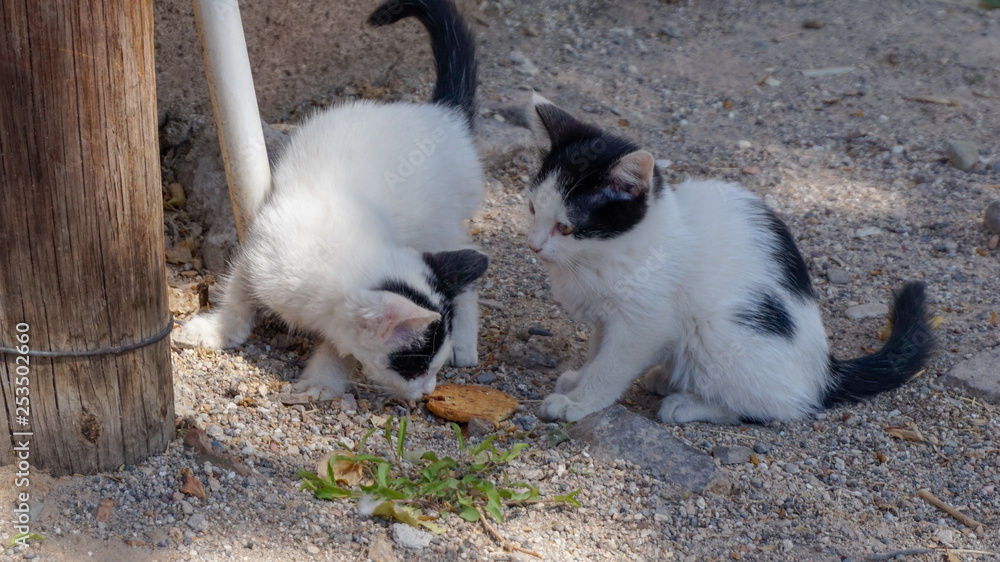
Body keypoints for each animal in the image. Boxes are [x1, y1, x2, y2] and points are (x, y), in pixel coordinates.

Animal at [185, 1, 492, 398]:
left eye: (430, 368)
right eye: (417, 366)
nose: (428, 390)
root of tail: (443, 117)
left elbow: (337, 344)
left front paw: (322, 380)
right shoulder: (258, 254)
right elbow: (237, 293)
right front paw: (218, 329)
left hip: (442, 224)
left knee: (470, 259)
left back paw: (467, 342)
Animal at [528, 94, 932, 422]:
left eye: (566, 227)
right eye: (532, 209)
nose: (534, 245)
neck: (614, 250)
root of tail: (824, 373)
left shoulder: (645, 321)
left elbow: (611, 364)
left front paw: (580, 401)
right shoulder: (606, 319)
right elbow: (598, 350)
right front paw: (578, 381)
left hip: (718, 333)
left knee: (781, 407)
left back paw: (689, 404)